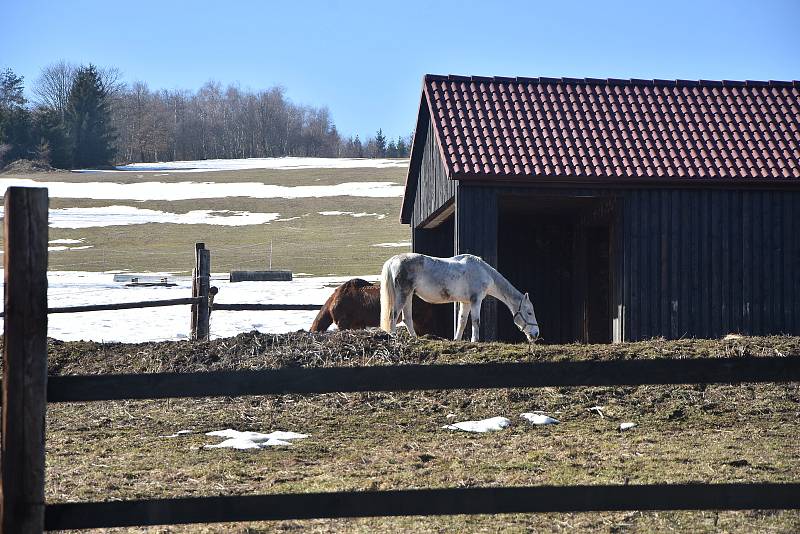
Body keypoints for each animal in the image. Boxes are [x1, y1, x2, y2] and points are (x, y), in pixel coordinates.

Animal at [378, 254, 540, 346]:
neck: (483, 271)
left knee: (407, 319)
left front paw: (457, 340)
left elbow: (462, 321)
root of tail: (393, 261)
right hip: (403, 294)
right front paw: (475, 341)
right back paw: (393, 337)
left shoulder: (466, 302)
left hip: (409, 295)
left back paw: (415, 339)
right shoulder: (476, 300)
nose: (536, 334)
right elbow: (475, 321)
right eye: (529, 312)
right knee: (393, 315)